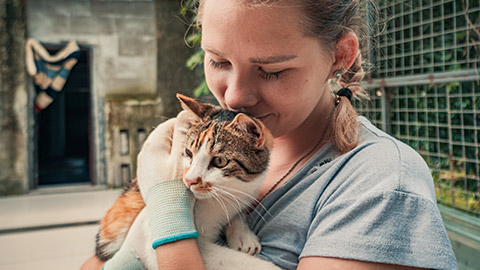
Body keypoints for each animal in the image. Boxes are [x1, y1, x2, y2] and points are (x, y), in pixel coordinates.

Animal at [94, 94, 280, 268]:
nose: (189, 180)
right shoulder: (150, 241)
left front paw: (243, 235)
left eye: (219, 161)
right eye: (188, 152)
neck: (223, 197)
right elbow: (232, 260)